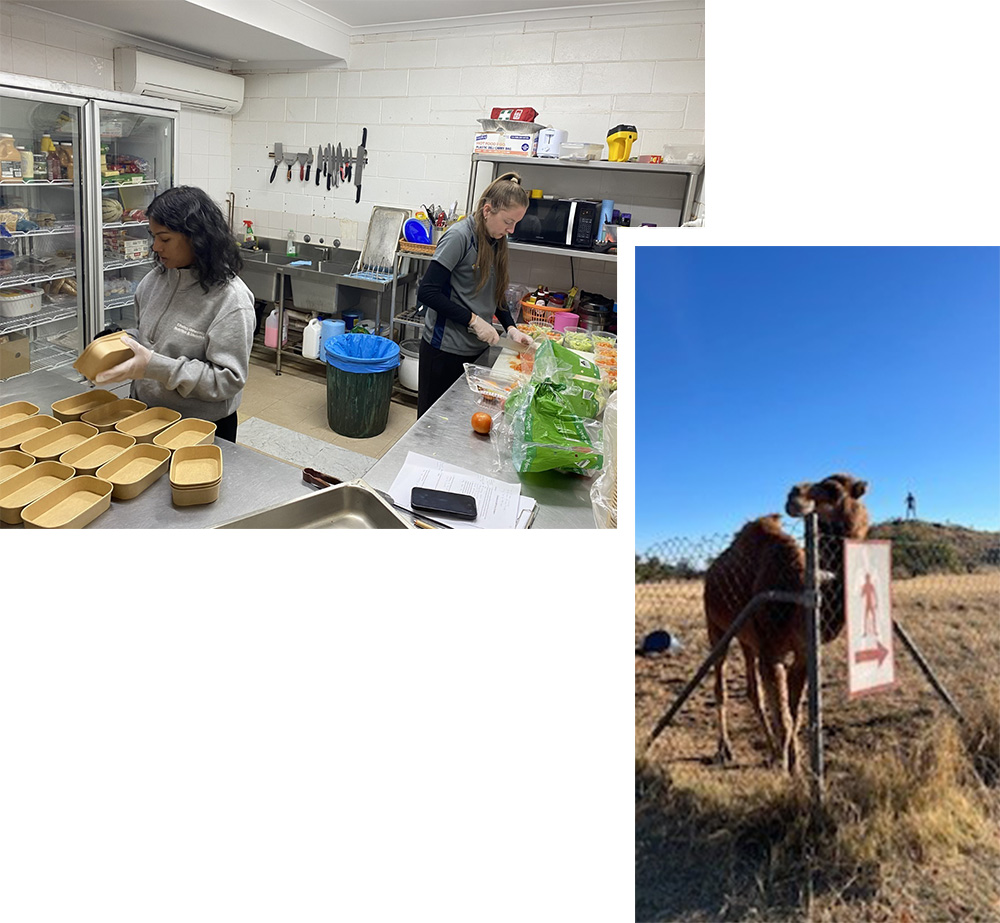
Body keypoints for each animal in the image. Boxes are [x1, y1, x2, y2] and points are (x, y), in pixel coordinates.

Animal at [704, 476, 868, 772]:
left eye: (833, 489)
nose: (794, 493)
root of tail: (710, 572)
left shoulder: (802, 653)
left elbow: (794, 713)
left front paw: (795, 764)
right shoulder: (772, 652)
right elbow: (785, 718)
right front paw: (785, 767)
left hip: (746, 638)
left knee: (753, 691)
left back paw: (768, 750)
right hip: (716, 627)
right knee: (720, 686)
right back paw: (725, 750)